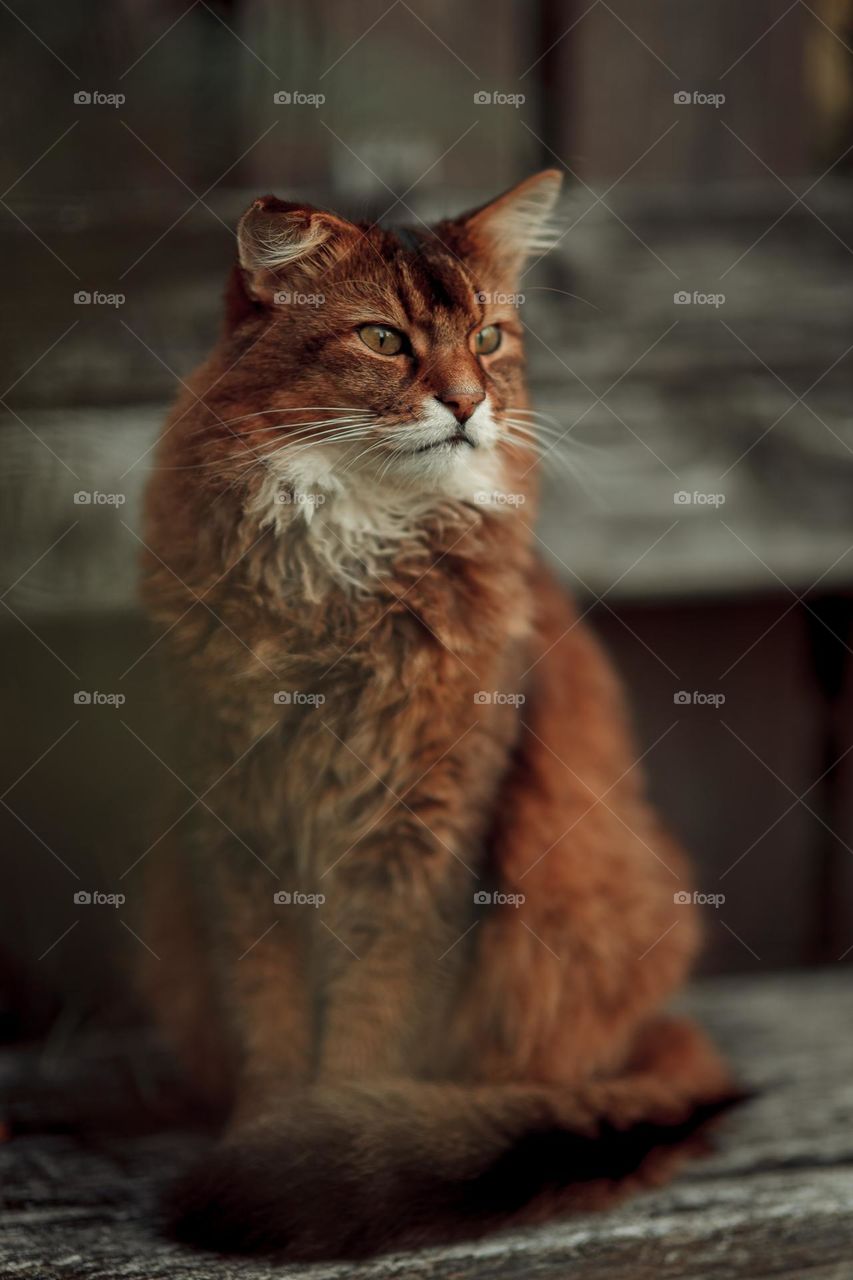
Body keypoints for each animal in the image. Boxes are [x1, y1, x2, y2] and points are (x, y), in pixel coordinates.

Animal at [140, 170, 737, 1259]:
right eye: (385, 339)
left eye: (489, 339)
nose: (467, 402)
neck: (346, 569)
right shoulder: (237, 830)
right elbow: (268, 1015)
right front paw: (265, 1135)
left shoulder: (422, 834)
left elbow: (370, 1022)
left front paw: (312, 1151)